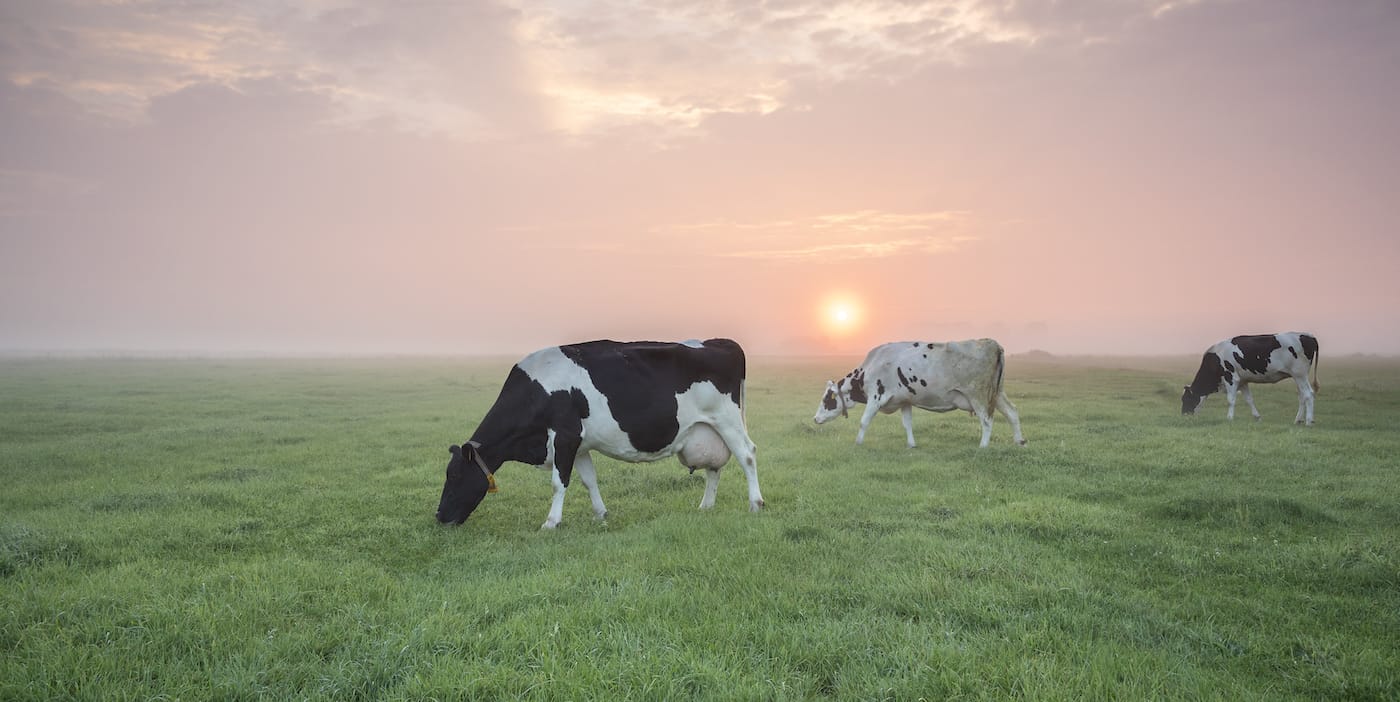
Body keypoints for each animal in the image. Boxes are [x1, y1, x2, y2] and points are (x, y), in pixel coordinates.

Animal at [435, 338, 764, 529]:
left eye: (455, 476)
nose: (439, 517)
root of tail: (721, 341)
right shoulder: (579, 445)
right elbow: (588, 480)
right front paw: (601, 514)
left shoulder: (565, 436)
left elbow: (559, 482)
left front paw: (551, 522)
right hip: (707, 429)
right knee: (714, 467)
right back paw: (706, 506)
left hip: (727, 418)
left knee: (747, 455)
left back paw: (756, 503)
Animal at [813, 339, 1026, 448]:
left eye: (826, 399)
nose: (815, 419)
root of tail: (992, 344)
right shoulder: (905, 400)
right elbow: (907, 424)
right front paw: (911, 444)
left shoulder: (876, 396)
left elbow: (864, 422)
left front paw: (858, 443)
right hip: (997, 393)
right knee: (1012, 412)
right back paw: (1019, 441)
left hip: (978, 395)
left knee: (987, 420)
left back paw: (983, 446)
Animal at [1181, 332, 1319, 424]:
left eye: (1186, 399)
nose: (1183, 414)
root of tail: (1308, 335)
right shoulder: (1242, 381)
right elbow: (1249, 400)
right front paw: (1257, 417)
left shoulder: (1231, 378)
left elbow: (1231, 400)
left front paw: (1229, 418)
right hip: (1298, 376)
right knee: (1302, 396)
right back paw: (1298, 420)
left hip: (1300, 374)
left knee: (1308, 394)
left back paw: (1308, 421)